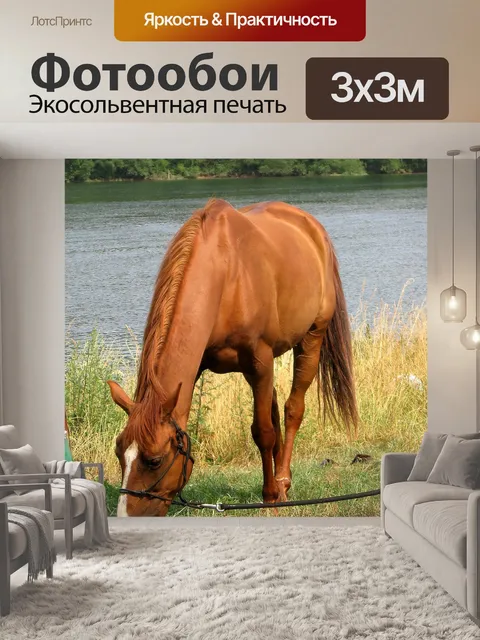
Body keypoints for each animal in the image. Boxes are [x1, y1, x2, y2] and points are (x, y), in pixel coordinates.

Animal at [108, 199, 358, 517]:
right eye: (119, 451)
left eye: (154, 460)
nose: (124, 515)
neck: (226, 276)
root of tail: (311, 226)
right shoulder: (210, 366)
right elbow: (267, 426)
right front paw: (273, 492)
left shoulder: (259, 361)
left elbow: (263, 432)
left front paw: (270, 499)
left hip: (311, 339)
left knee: (292, 410)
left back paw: (283, 482)